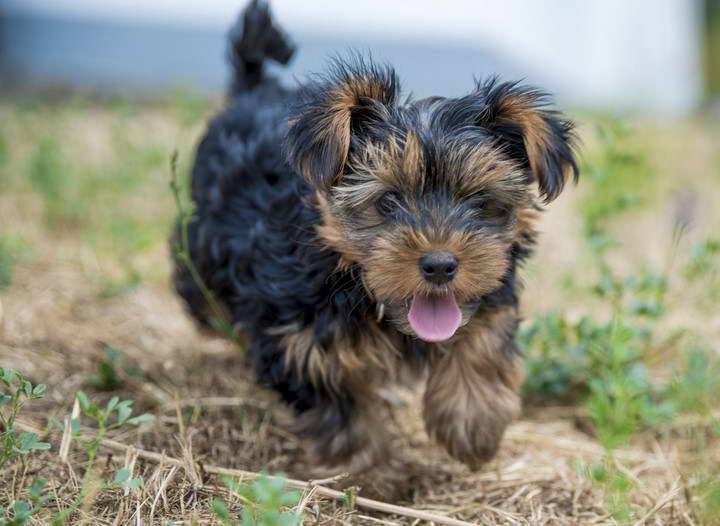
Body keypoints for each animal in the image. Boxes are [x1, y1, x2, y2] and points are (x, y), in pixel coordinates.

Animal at [174, 1, 580, 478]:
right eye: (388, 201)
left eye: (480, 201)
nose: (440, 265)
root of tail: (255, 90)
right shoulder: (302, 339)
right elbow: (342, 409)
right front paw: (364, 476)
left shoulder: (491, 285)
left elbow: (483, 336)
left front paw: (472, 425)